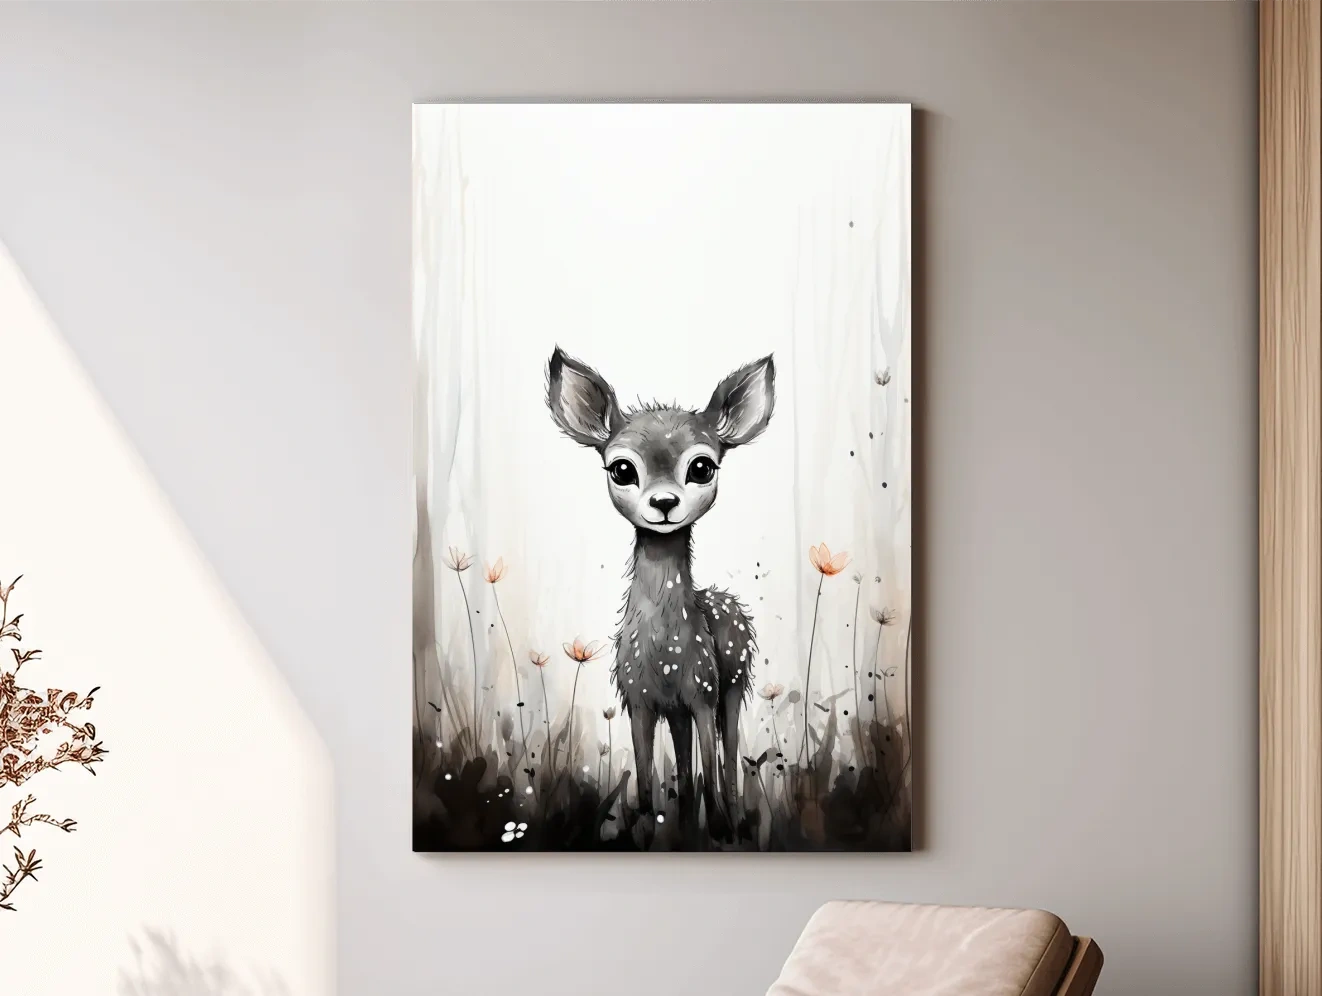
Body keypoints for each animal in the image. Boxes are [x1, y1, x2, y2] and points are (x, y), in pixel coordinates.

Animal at [546, 346, 775, 840]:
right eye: (622, 468)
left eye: (702, 466)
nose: (665, 503)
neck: (665, 650)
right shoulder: (639, 699)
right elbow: (648, 782)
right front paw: (648, 830)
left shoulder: (703, 691)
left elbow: (711, 762)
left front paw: (719, 829)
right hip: (679, 709)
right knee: (686, 768)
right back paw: (686, 822)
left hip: (733, 683)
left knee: (727, 757)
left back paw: (728, 821)